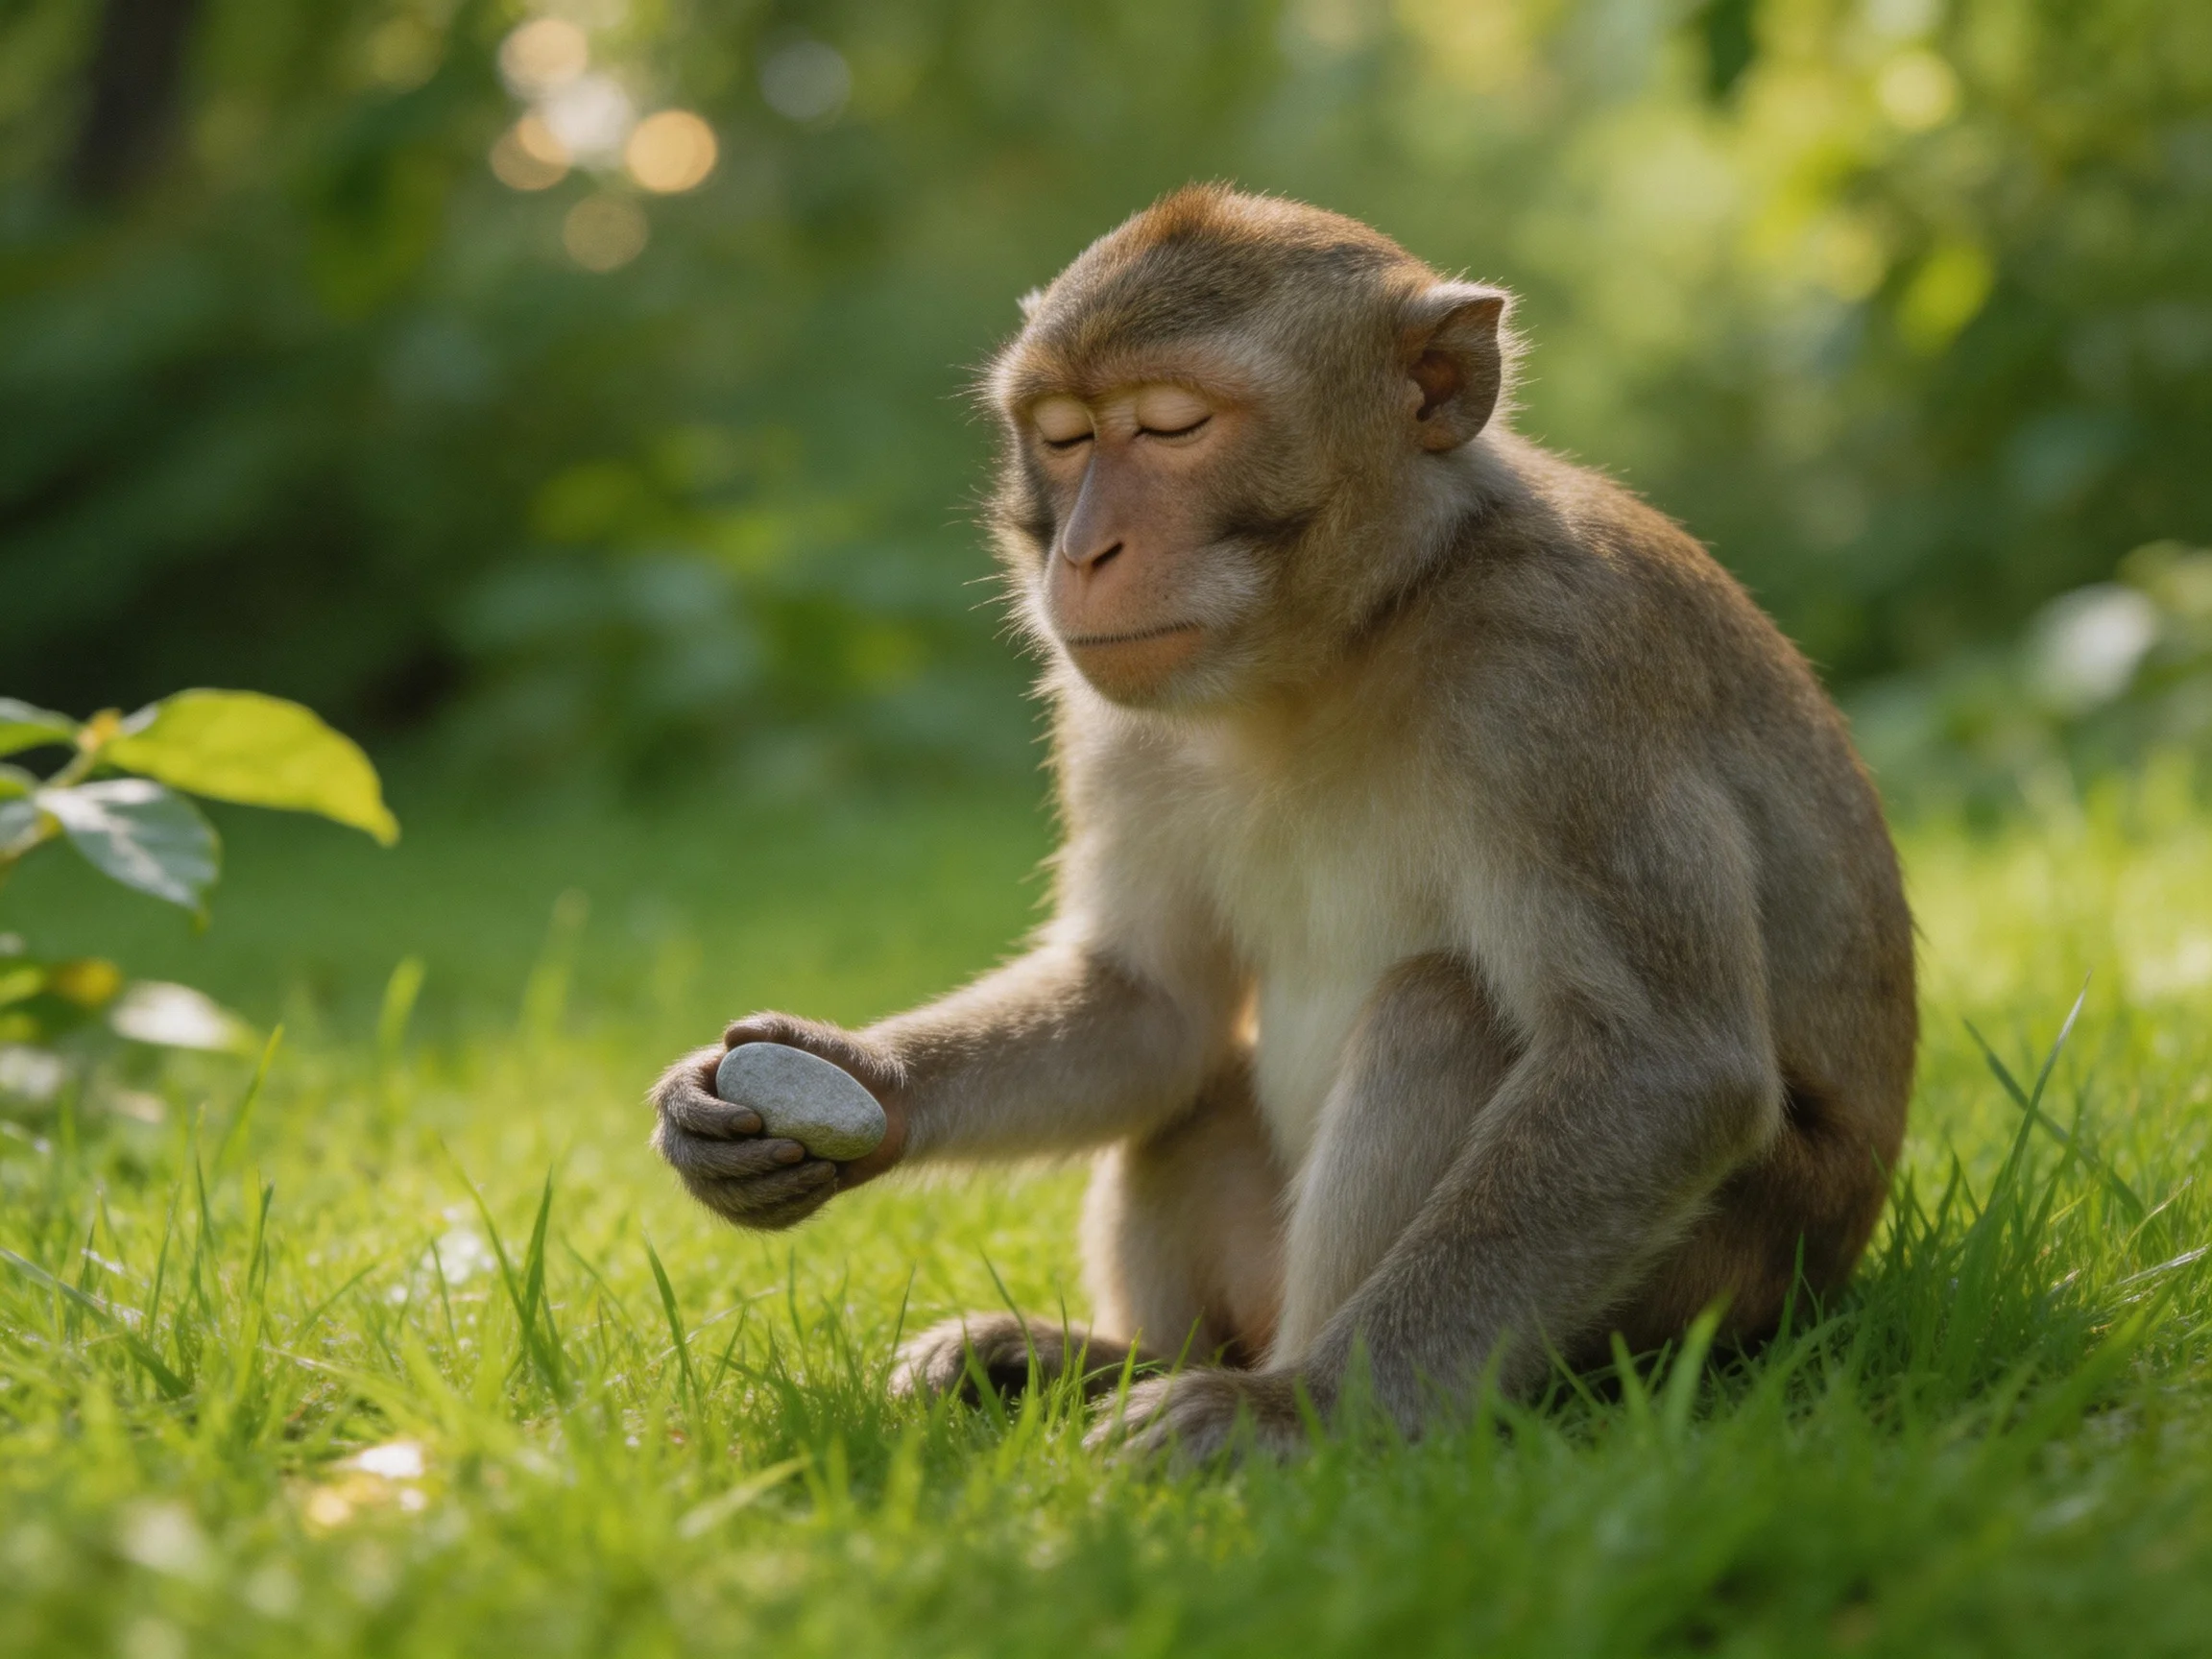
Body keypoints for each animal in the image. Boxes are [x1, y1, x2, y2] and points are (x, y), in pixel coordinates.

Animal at [650, 185, 1916, 1462]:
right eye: (1064, 436)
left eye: (1172, 427)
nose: (1084, 550)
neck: (1341, 646)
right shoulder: (1114, 717)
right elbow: (1148, 1005)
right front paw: (845, 1084)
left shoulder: (1559, 673)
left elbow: (1661, 1064)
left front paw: (1319, 1410)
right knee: (1195, 1085)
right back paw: (1093, 1361)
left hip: (1698, 1303)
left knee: (1445, 1010)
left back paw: (1277, 1399)